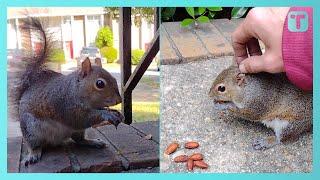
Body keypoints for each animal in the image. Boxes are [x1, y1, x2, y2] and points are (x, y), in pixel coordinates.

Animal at [16, 17, 124, 165]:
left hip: (77, 131)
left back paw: (92, 142)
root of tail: (56, 141)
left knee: (78, 140)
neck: (75, 90)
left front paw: (115, 112)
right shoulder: (65, 106)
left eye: (114, 78)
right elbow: (80, 118)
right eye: (100, 84)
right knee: (35, 145)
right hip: (31, 129)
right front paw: (107, 115)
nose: (119, 100)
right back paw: (33, 154)